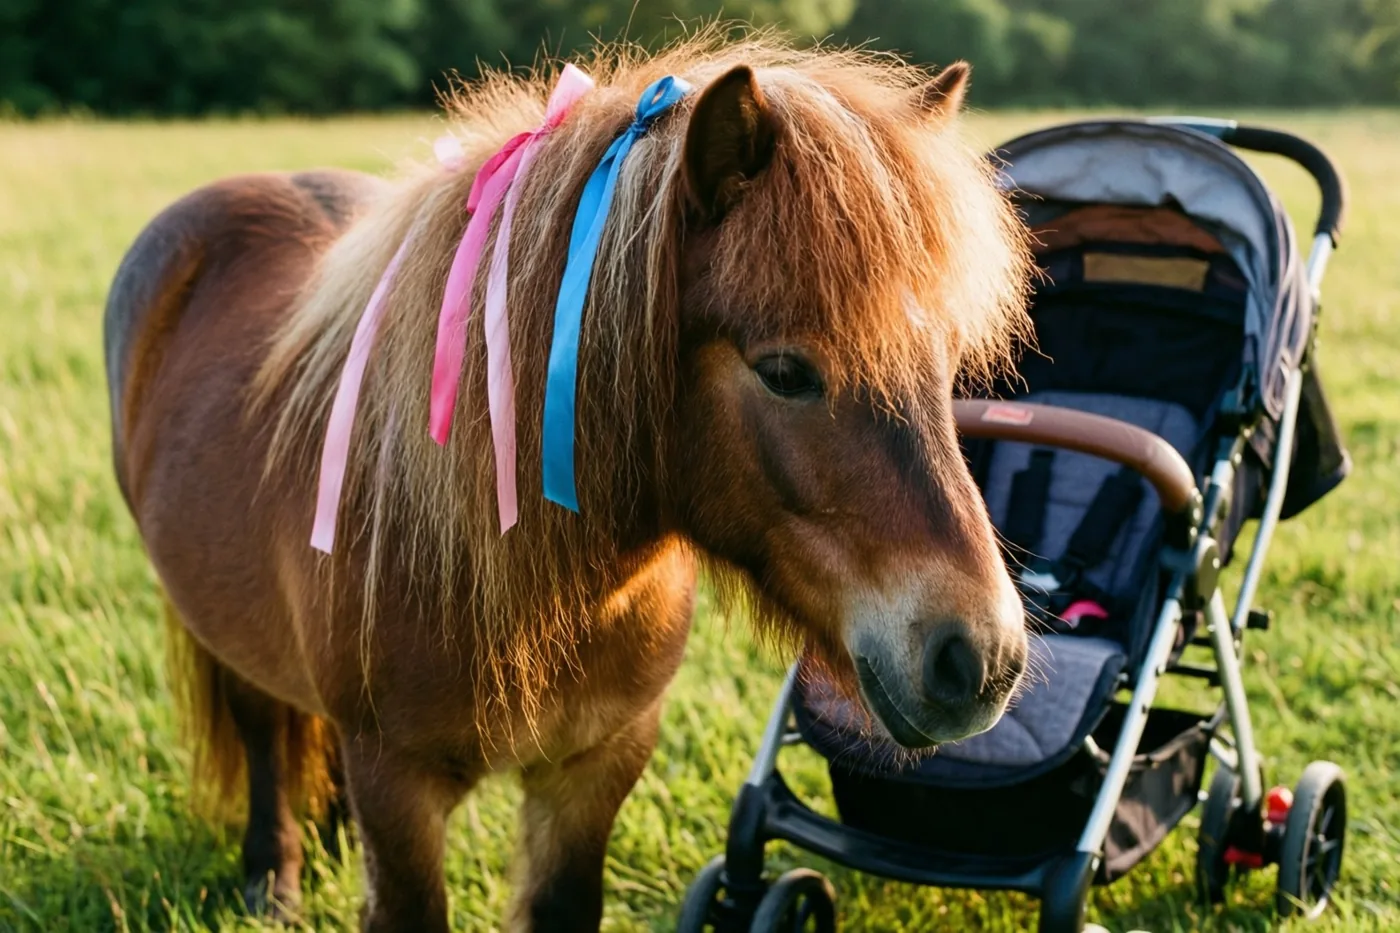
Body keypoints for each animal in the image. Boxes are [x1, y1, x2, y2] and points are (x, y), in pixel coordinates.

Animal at [103, 34, 1033, 932]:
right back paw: (275, 880)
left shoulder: (595, 765)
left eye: (948, 361)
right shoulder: (398, 784)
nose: (980, 658)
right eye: (784, 372)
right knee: (264, 730)